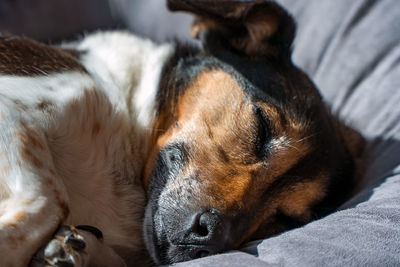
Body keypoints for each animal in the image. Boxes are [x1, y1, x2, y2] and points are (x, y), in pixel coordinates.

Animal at [0, 0, 360, 267]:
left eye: (286, 218)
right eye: (262, 127)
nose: (212, 237)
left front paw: (75, 249)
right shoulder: (11, 107)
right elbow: (49, 199)